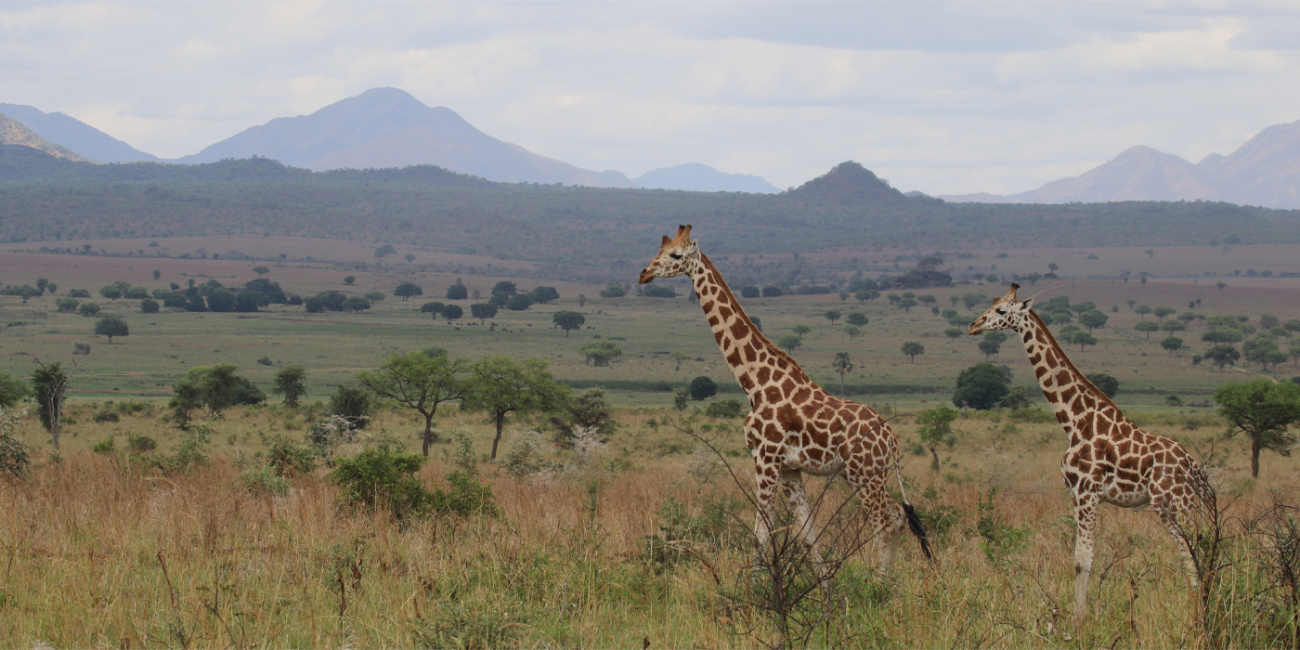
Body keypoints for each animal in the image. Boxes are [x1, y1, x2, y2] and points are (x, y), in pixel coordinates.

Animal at [637, 226, 925, 577]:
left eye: (675, 254)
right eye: (658, 250)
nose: (644, 273)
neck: (756, 384)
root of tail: (891, 438)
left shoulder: (766, 457)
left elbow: (761, 531)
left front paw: (752, 590)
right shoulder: (789, 468)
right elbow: (808, 534)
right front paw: (825, 589)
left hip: (864, 473)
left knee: (885, 522)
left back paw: (880, 585)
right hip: (867, 474)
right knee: (897, 516)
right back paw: (888, 583)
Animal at [972, 286, 1211, 629]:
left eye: (1002, 311)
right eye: (991, 304)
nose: (974, 326)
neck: (1075, 421)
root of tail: (1192, 467)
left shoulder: (1087, 492)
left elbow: (1082, 560)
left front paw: (1078, 623)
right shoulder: (1076, 493)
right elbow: (1080, 558)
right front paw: (1077, 618)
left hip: (1174, 504)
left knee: (1192, 554)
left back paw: (1198, 619)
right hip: (1177, 506)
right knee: (1192, 553)